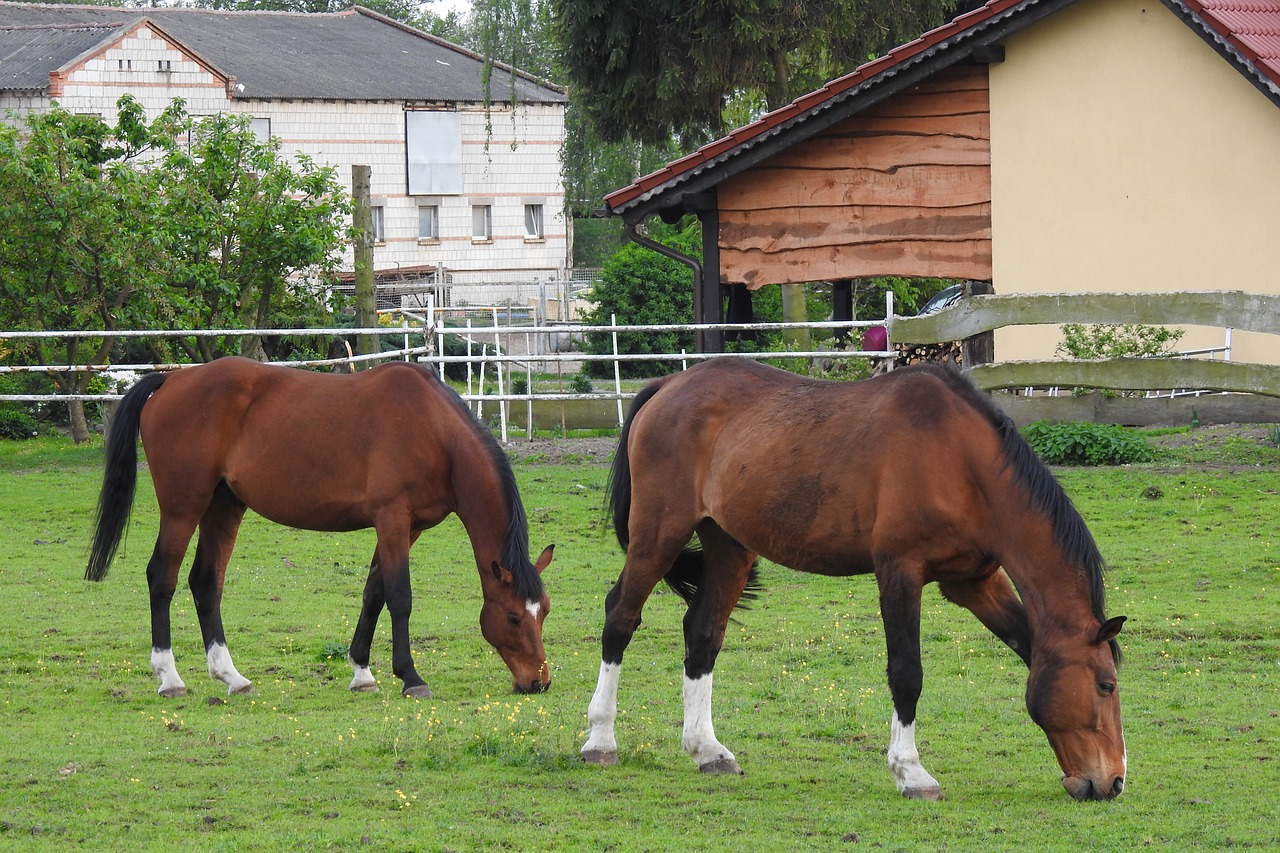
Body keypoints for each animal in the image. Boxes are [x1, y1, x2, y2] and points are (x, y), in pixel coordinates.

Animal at [83, 358, 555, 696]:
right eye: (513, 617)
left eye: (544, 612)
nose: (538, 682)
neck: (435, 432)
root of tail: (171, 380)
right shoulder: (392, 518)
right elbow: (399, 597)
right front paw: (411, 677)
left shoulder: (408, 527)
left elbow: (374, 593)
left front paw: (362, 672)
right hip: (184, 507)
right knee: (162, 577)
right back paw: (170, 678)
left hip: (224, 506)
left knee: (205, 582)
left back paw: (232, 677)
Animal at [586, 356, 1126, 799]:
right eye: (1106, 685)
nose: (1114, 782)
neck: (960, 460)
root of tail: (669, 384)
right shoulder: (900, 571)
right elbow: (907, 673)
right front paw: (911, 772)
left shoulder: (974, 582)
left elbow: (1025, 643)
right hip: (659, 534)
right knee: (620, 617)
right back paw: (600, 740)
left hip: (728, 546)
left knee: (702, 633)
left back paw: (707, 750)